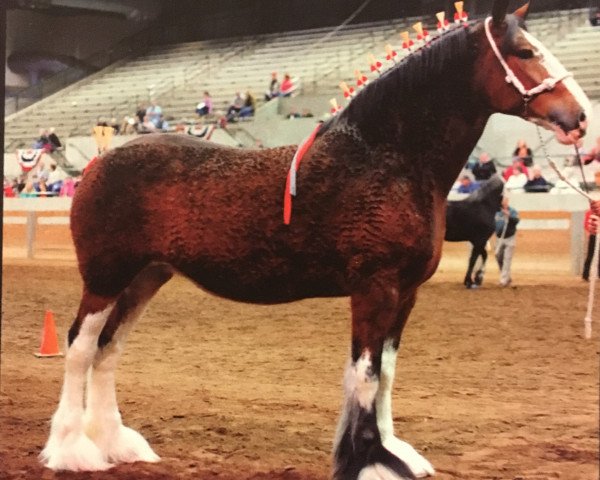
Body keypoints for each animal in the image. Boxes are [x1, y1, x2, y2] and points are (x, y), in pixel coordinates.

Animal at [43, 1, 592, 478]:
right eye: (524, 52)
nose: (581, 116)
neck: (386, 158)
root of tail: (99, 163)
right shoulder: (375, 288)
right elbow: (367, 376)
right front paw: (369, 462)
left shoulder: (406, 294)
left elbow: (386, 373)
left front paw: (392, 453)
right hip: (105, 277)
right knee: (80, 347)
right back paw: (72, 450)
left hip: (147, 277)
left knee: (109, 349)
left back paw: (115, 444)